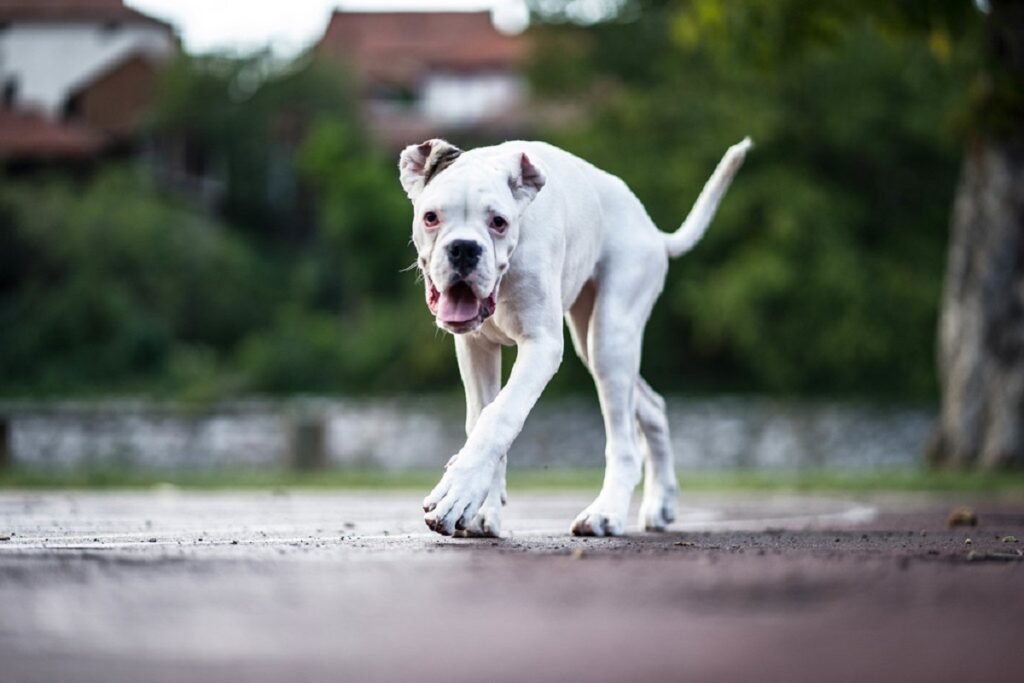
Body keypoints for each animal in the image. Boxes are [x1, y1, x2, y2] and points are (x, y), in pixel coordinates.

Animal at [399, 136, 753, 536]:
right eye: (431, 217)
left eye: (498, 223)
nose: (464, 248)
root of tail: (653, 231)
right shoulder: (476, 348)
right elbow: (480, 419)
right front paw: (480, 507)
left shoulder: (542, 346)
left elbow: (500, 416)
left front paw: (459, 491)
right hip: (593, 342)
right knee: (652, 407)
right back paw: (661, 503)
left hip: (611, 339)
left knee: (624, 443)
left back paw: (606, 513)